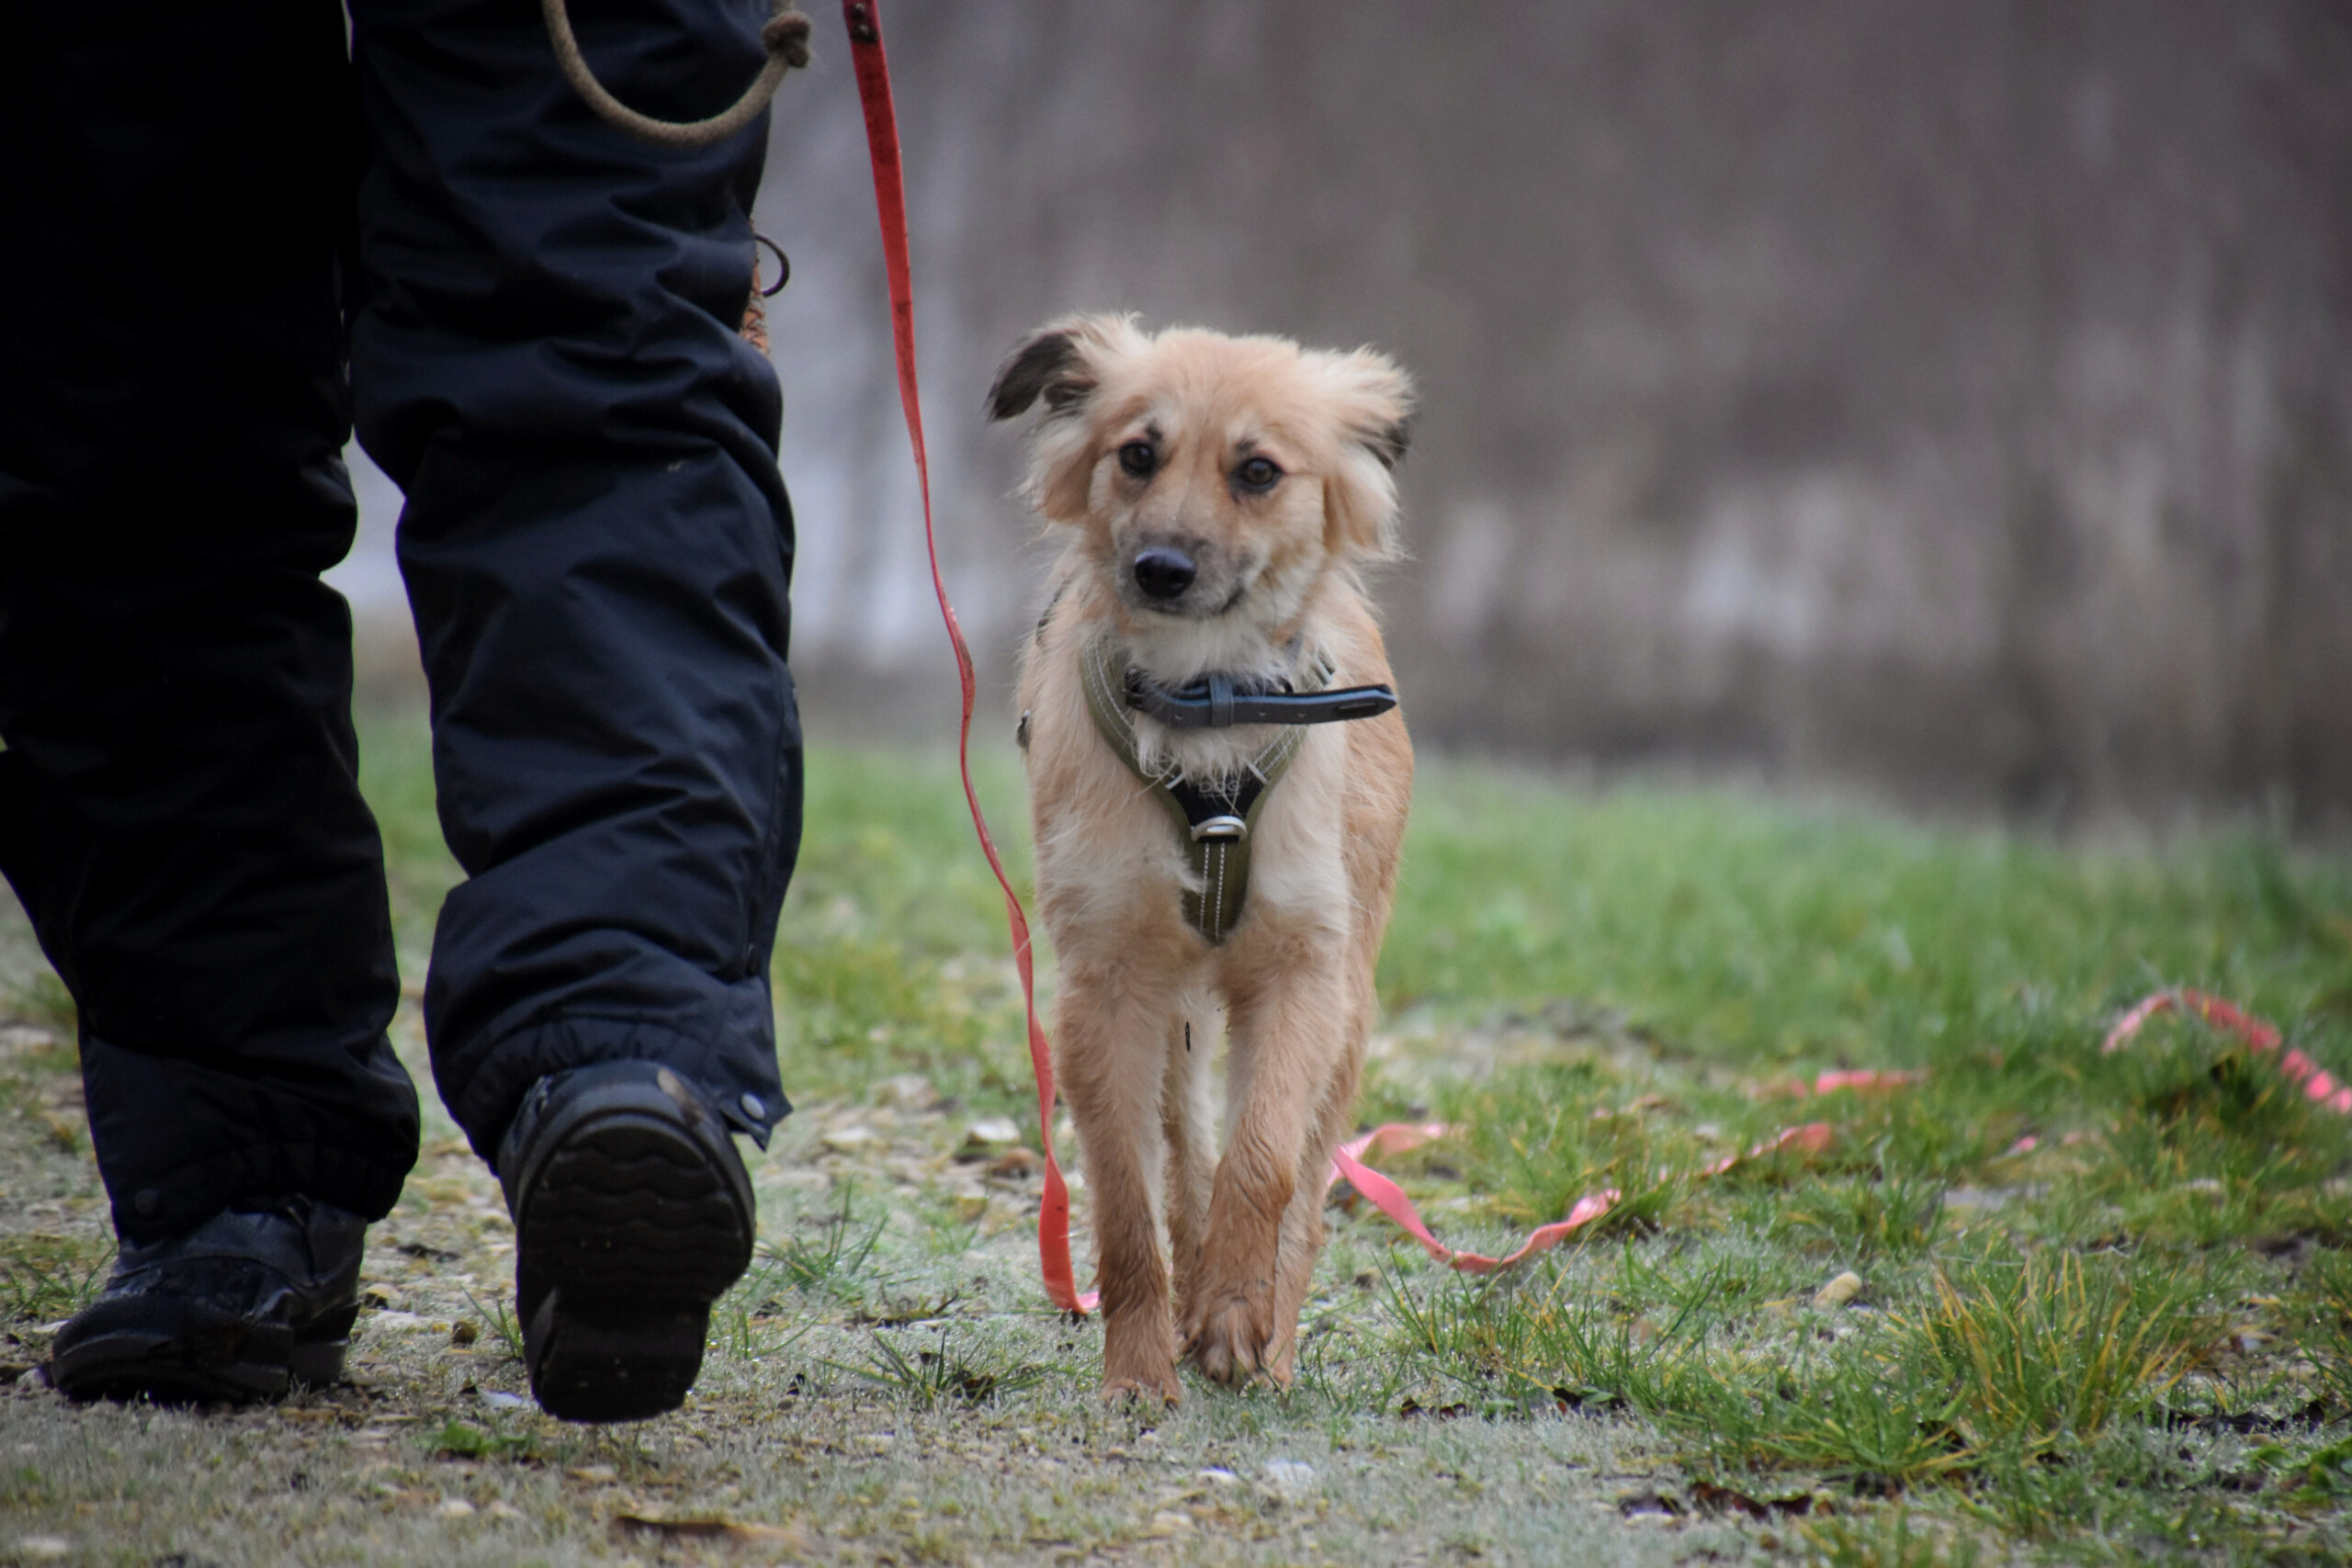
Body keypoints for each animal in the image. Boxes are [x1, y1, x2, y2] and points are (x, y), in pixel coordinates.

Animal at [978, 314, 1401, 1401]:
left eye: (1258, 470)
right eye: (1138, 454)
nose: (1161, 567)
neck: (1204, 701)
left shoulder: (1303, 972)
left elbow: (1269, 1163)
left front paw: (1238, 1317)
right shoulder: (1107, 982)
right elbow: (1130, 1201)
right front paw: (1137, 1368)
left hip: (1348, 1004)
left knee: (1301, 1176)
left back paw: (1269, 1335)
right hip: (1175, 1007)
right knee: (1185, 1150)